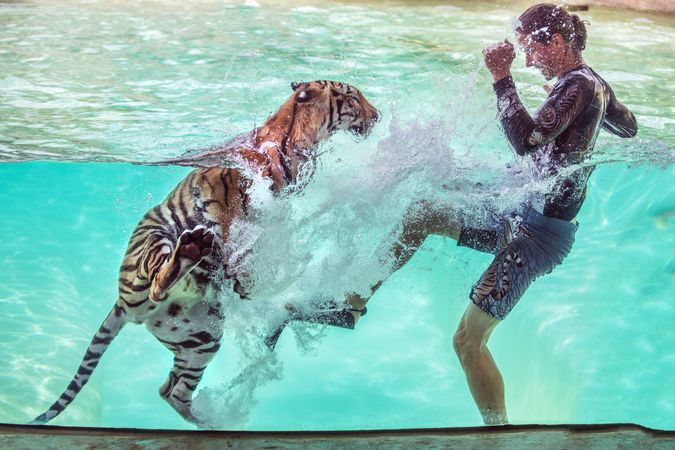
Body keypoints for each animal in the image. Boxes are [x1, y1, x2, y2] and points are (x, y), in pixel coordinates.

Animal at [31, 80, 378, 426]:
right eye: (351, 97)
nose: (377, 115)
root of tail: (123, 305)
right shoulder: (228, 194)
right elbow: (236, 220)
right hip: (156, 241)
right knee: (157, 282)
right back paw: (193, 249)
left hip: (202, 335)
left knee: (171, 389)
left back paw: (212, 421)